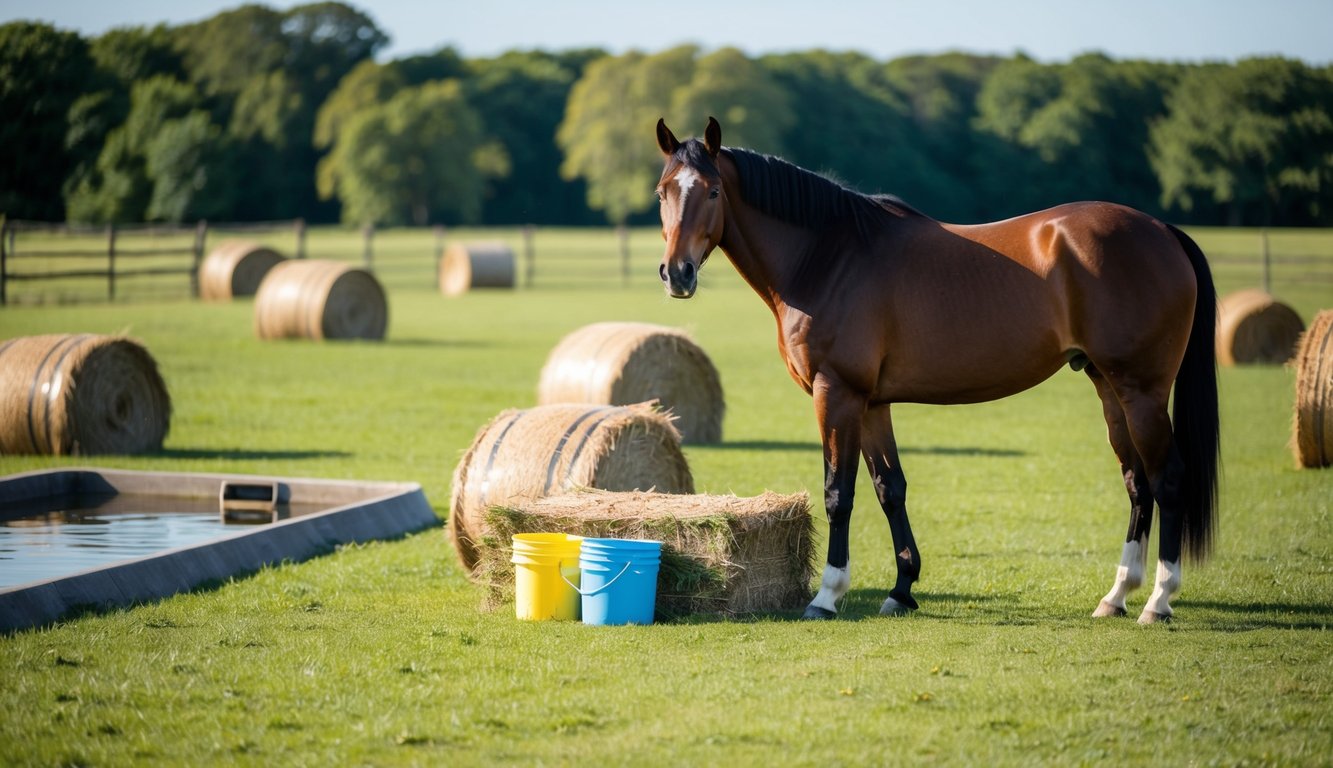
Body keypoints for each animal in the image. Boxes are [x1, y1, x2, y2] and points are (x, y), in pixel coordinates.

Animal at [653, 118, 1221, 624]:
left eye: (712, 191)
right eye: (663, 192)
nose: (677, 273)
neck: (827, 256)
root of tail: (1162, 231)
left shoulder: (836, 393)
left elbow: (840, 493)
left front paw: (827, 596)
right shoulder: (873, 402)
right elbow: (890, 489)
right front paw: (902, 590)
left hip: (1141, 391)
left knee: (1168, 480)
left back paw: (1158, 601)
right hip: (1110, 388)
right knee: (1137, 483)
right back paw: (1117, 595)